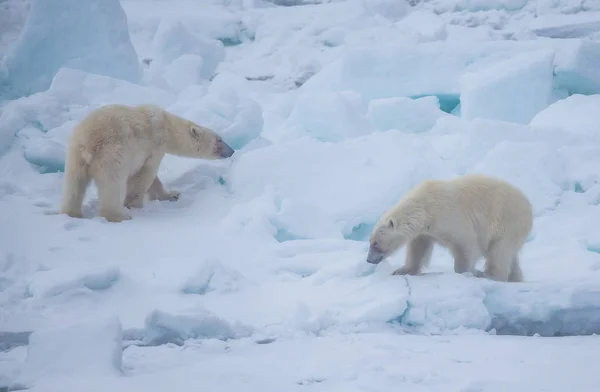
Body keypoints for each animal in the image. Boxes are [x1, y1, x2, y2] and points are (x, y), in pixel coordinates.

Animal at [59, 102, 234, 222]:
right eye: (220, 140)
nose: (232, 150)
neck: (168, 127)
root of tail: (89, 143)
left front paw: (173, 194)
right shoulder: (153, 147)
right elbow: (144, 176)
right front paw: (135, 204)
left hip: (75, 155)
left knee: (74, 185)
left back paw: (72, 213)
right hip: (112, 155)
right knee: (112, 185)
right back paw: (121, 215)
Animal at [368, 175, 532, 282]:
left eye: (375, 243)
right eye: (370, 241)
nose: (369, 260)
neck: (424, 207)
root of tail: (528, 205)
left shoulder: (448, 216)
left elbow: (465, 244)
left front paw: (466, 272)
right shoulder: (425, 230)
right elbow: (418, 248)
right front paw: (401, 270)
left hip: (507, 220)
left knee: (499, 251)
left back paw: (490, 275)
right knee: (510, 255)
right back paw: (515, 278)